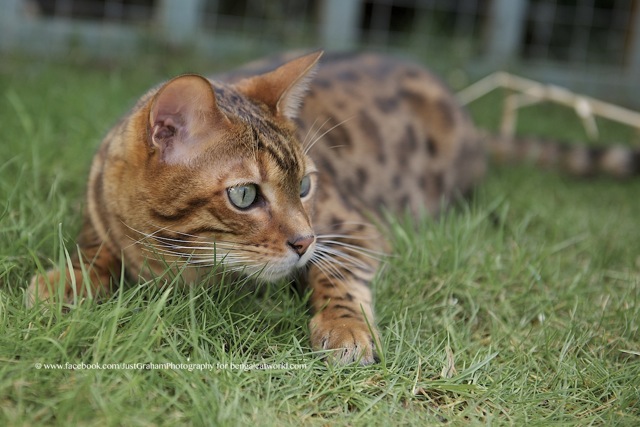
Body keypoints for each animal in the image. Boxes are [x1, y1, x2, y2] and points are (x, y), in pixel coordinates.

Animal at [27, 50, 636, 364]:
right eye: (245, 195)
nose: (303, 241)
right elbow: (97, 251)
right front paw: (65, 280)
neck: (178, 259)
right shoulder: (99, 217)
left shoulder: (351, 227)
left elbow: (338, 275)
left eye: (305, 186)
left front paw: (344, 328)